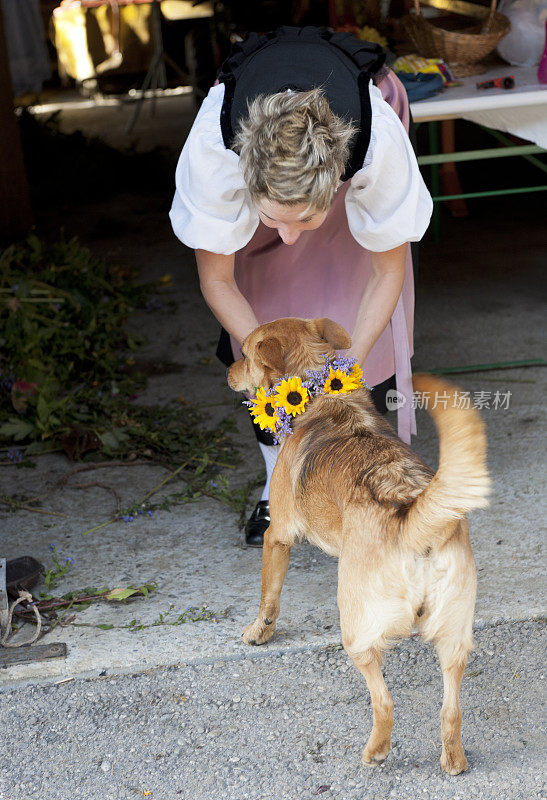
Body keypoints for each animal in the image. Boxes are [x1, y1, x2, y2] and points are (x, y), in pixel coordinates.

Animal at [229, 318, 490, 776]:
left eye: (243, 354)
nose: (228, 370)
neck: (318, 389)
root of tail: (411, 515)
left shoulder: (278, 537)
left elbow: (268, 597)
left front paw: (259, 632)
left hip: (356, 632)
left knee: (384, 701)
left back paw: (376, 751)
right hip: (454, 640)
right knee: (450, 710)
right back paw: (453, 760)